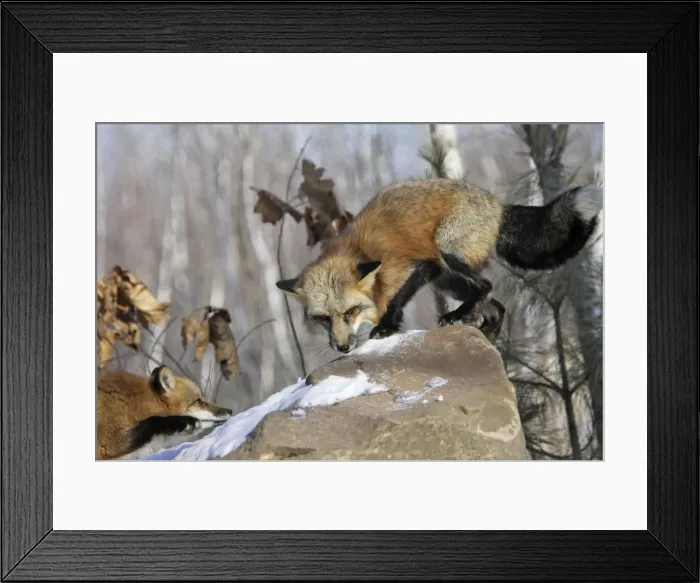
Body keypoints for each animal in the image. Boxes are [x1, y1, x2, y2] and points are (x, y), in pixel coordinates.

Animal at [276, 178, 602, 353]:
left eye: (350, 312)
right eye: (322, 319)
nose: (342, 347)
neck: (358, 250)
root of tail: (497, 205)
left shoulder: (419, 265)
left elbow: (396, 300)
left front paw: (387, 326)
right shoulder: (428, 269)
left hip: (447, 252)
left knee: (486, 285)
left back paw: (459, 317)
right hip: (449, 281)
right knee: (496, 304)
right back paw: (485, 335)